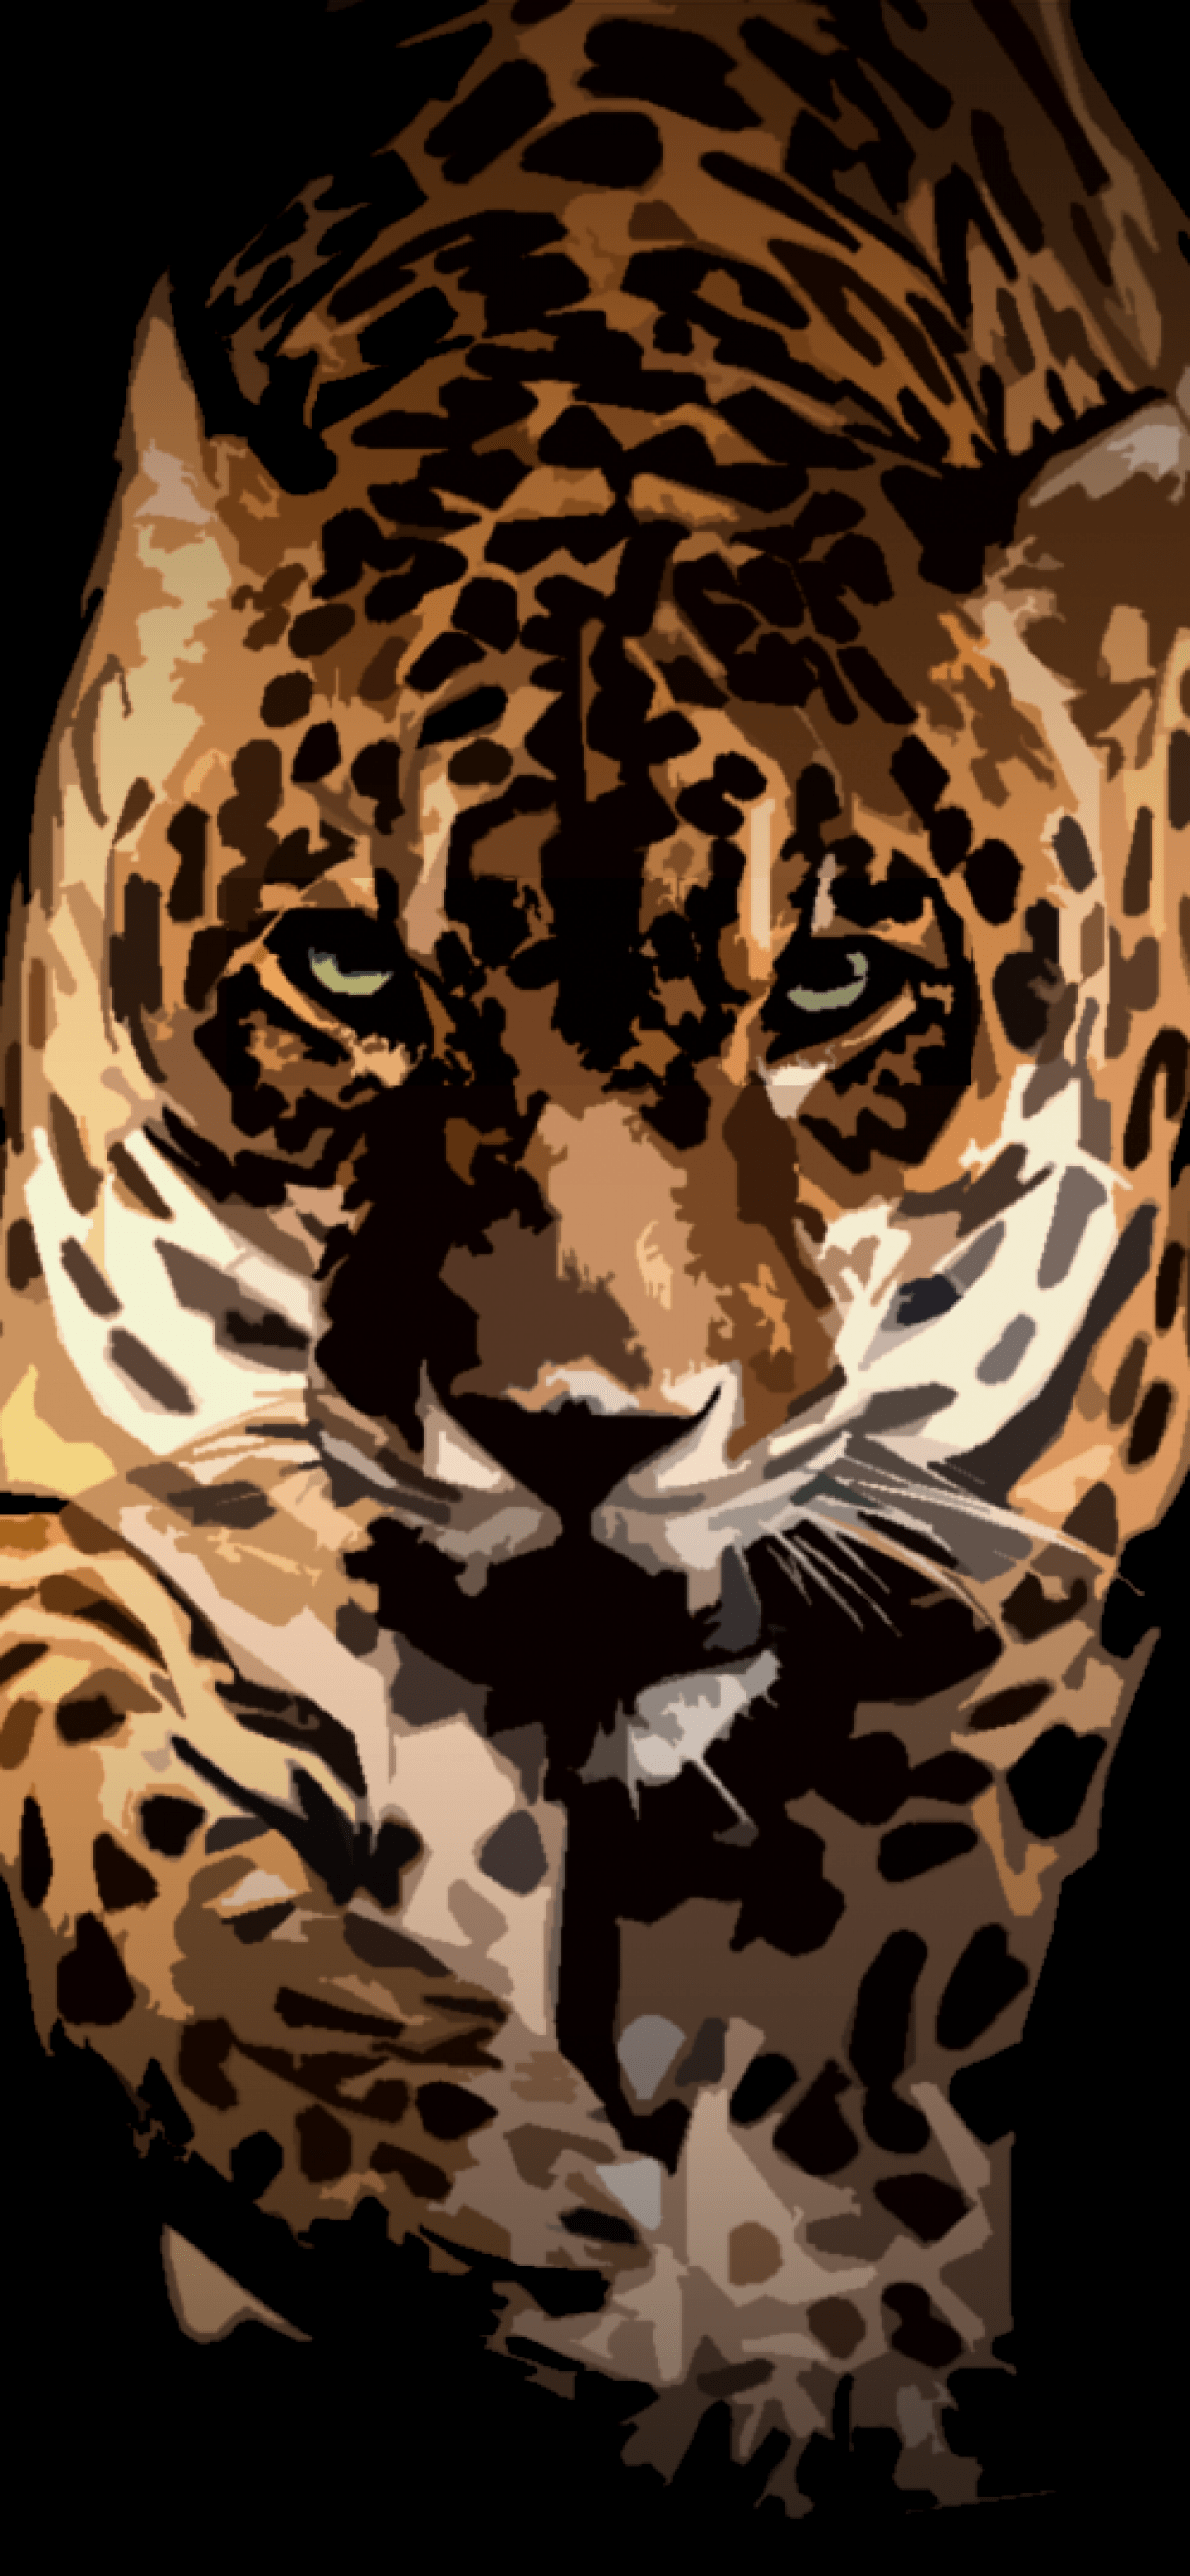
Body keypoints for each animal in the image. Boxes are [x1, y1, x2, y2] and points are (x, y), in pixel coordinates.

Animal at [1, 0, 1186, 2518]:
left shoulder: (1022, 1557)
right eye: (352, 970)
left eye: (829, 987)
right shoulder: (90, 1496)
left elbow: (860, 1998)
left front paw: (822, 2354)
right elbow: (114, 1875)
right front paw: (478, 2195)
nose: (577, 1435)